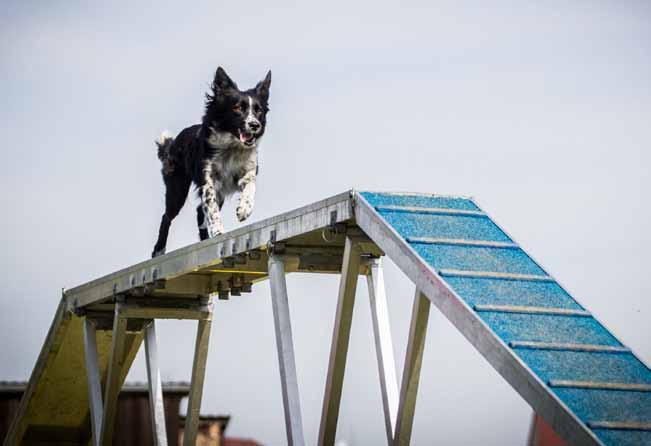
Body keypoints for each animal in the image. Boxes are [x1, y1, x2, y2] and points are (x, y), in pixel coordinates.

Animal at [152, 64, 272, 256]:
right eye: (237, 108)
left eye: (258, 110)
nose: (255, 125)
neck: (231, 145)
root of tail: (173, 144)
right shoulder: (208, 177)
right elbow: (211, 207)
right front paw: (217, 230)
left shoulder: (247, 170)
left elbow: (250, 187)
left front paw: (244, 209)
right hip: (177, 190)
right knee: (167, 216)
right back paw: (159, 250)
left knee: (199, 212)